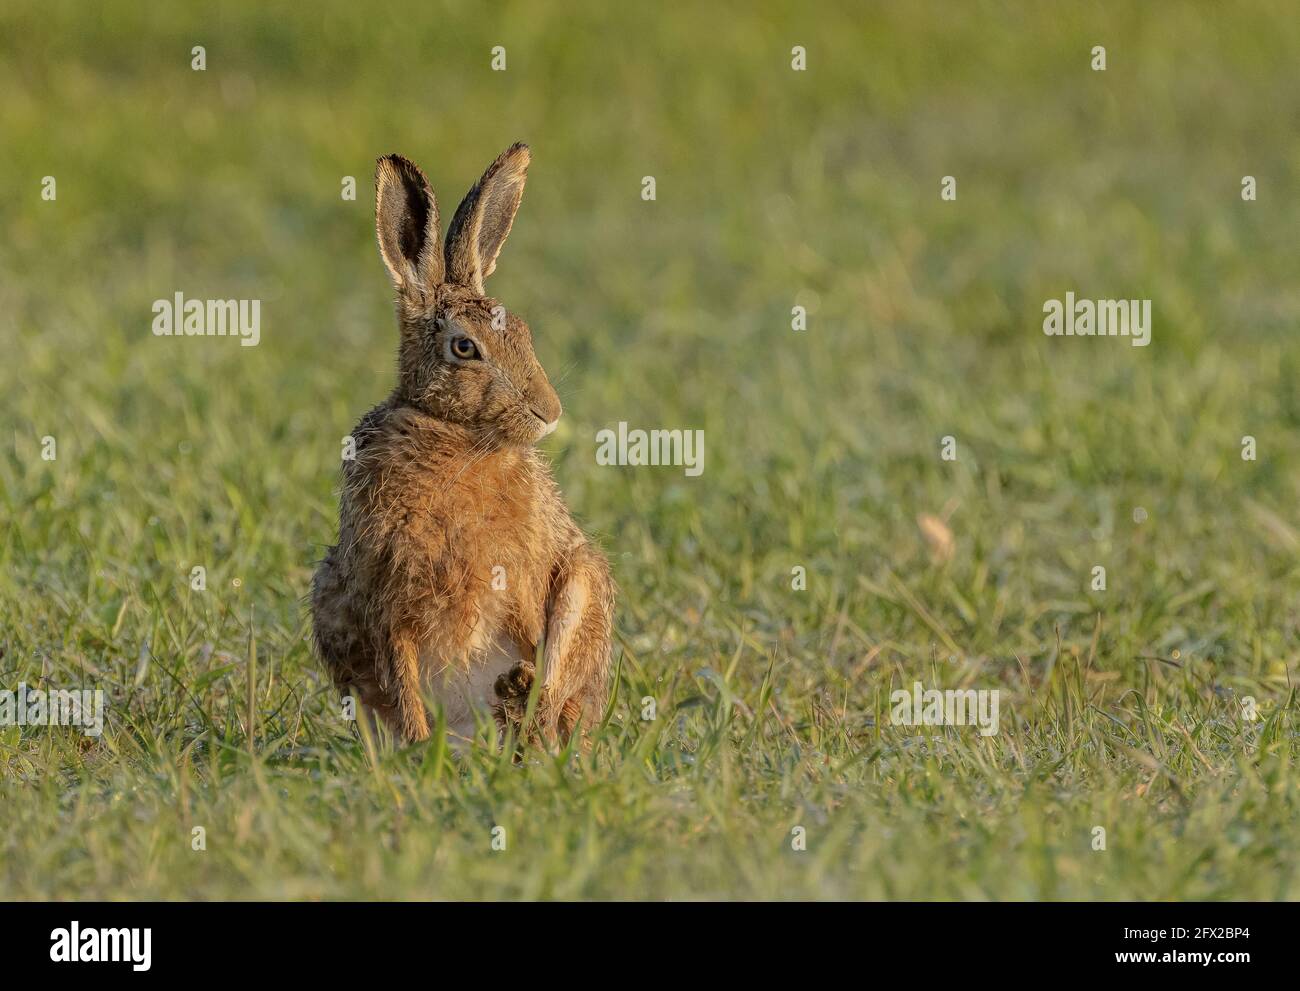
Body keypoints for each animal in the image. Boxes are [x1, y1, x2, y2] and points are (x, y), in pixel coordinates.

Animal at [311, 144, 615, 748]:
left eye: (521, 332)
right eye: (465, 348)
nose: (549, 412)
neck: (456, 436)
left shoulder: (526, 582)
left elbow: (536, 636)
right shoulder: (386, 601)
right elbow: (403, 681)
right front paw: (417, 746)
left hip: (584, 579)